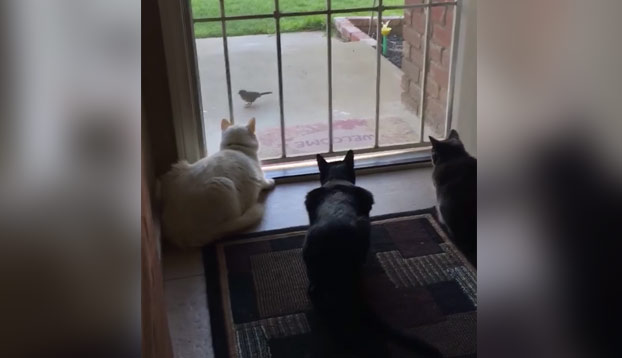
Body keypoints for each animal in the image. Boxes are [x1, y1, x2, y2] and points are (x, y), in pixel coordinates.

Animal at [161, 117, 276, 246]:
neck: (235, 147)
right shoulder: (258, 176)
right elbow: (265, 182)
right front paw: (271, 182)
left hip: (177, 168)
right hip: (223, 185)